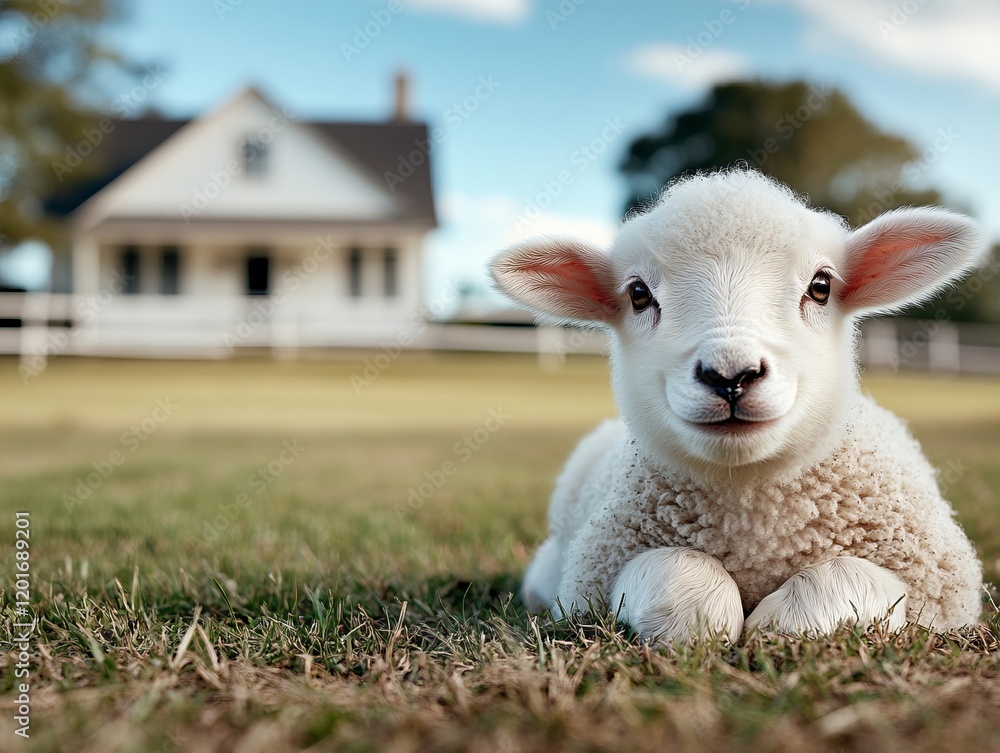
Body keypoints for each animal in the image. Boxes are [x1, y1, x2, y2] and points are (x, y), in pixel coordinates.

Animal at [489, 168, 986, 643]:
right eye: (638, 294)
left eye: (821, 287)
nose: (730, 376)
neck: (752, 514)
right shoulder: (591, 578)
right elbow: (684, 581)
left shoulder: (941, 588)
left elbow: (846, 576)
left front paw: (779, 624)